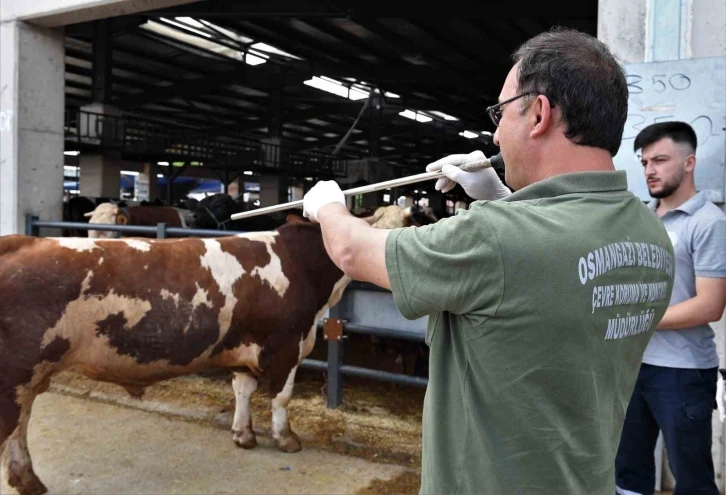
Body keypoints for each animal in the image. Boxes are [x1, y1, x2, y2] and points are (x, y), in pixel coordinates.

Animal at [0, 204, 416, 495]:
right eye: (388, 226)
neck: (301, 265)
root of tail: (21, 240)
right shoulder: (285, 345)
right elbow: (281, 398)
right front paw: (286, 439)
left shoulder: (245, 348)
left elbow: (242, 391)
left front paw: (244, 435)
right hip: (16, 373)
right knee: (14, 423)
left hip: (28, 376)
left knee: (21, 423)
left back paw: (28, 480)